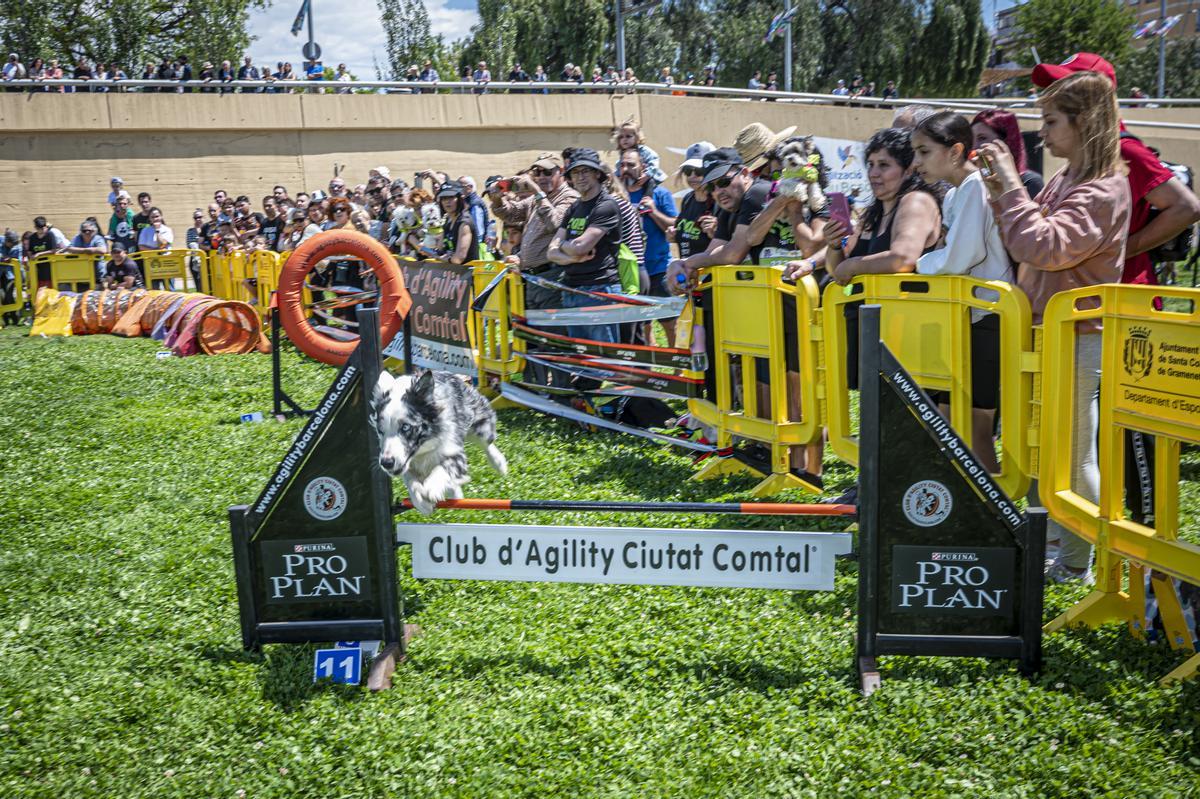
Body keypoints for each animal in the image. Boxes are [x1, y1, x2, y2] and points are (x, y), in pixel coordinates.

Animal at [372, 369, 508, 513]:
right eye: (380, 430)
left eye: (405, 427)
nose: (386, 463)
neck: (423, 450)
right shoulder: (406, 465)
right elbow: (410, 480)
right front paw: (421, 501)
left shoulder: (455, 452)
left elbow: (442, 468)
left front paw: (432, 489)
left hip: (478, 425)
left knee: (487, 443)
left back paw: (499, 464)